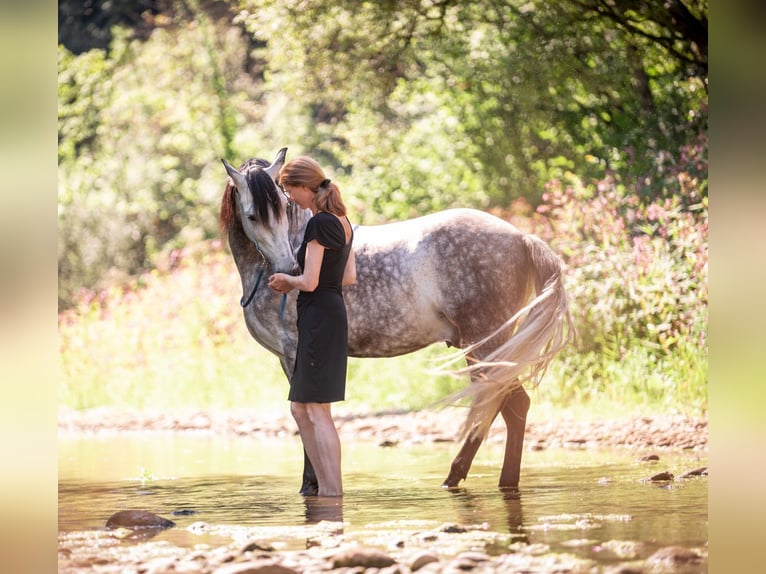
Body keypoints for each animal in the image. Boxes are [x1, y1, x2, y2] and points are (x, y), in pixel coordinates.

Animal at [219, 148, 572, 496]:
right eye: (254, 216)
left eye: (283, 204)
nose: (289, 269)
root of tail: (522, 237)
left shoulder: (294, 353)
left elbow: (305, 414)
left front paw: (310, 485)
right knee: (512, 406)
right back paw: (496, 481)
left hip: (485, 345)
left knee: (502, 403)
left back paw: (456, 476)